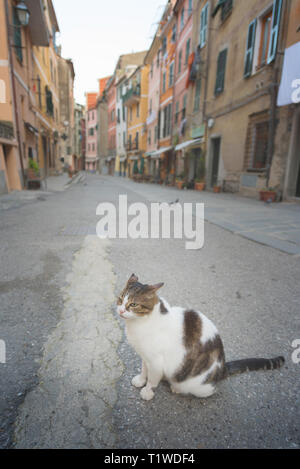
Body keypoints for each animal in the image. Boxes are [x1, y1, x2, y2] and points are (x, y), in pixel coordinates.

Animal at [116, 272, 284, 400]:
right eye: (120, 298)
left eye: (133, 304)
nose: (121, 310)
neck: (140, 322)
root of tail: (222, 368)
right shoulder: (145, 356)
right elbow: (144, 370)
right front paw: (140, 380)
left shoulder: (156, 361)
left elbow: (152, 378)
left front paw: (148, 391)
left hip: (198, 386)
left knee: (210, 390)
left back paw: (178, 388)